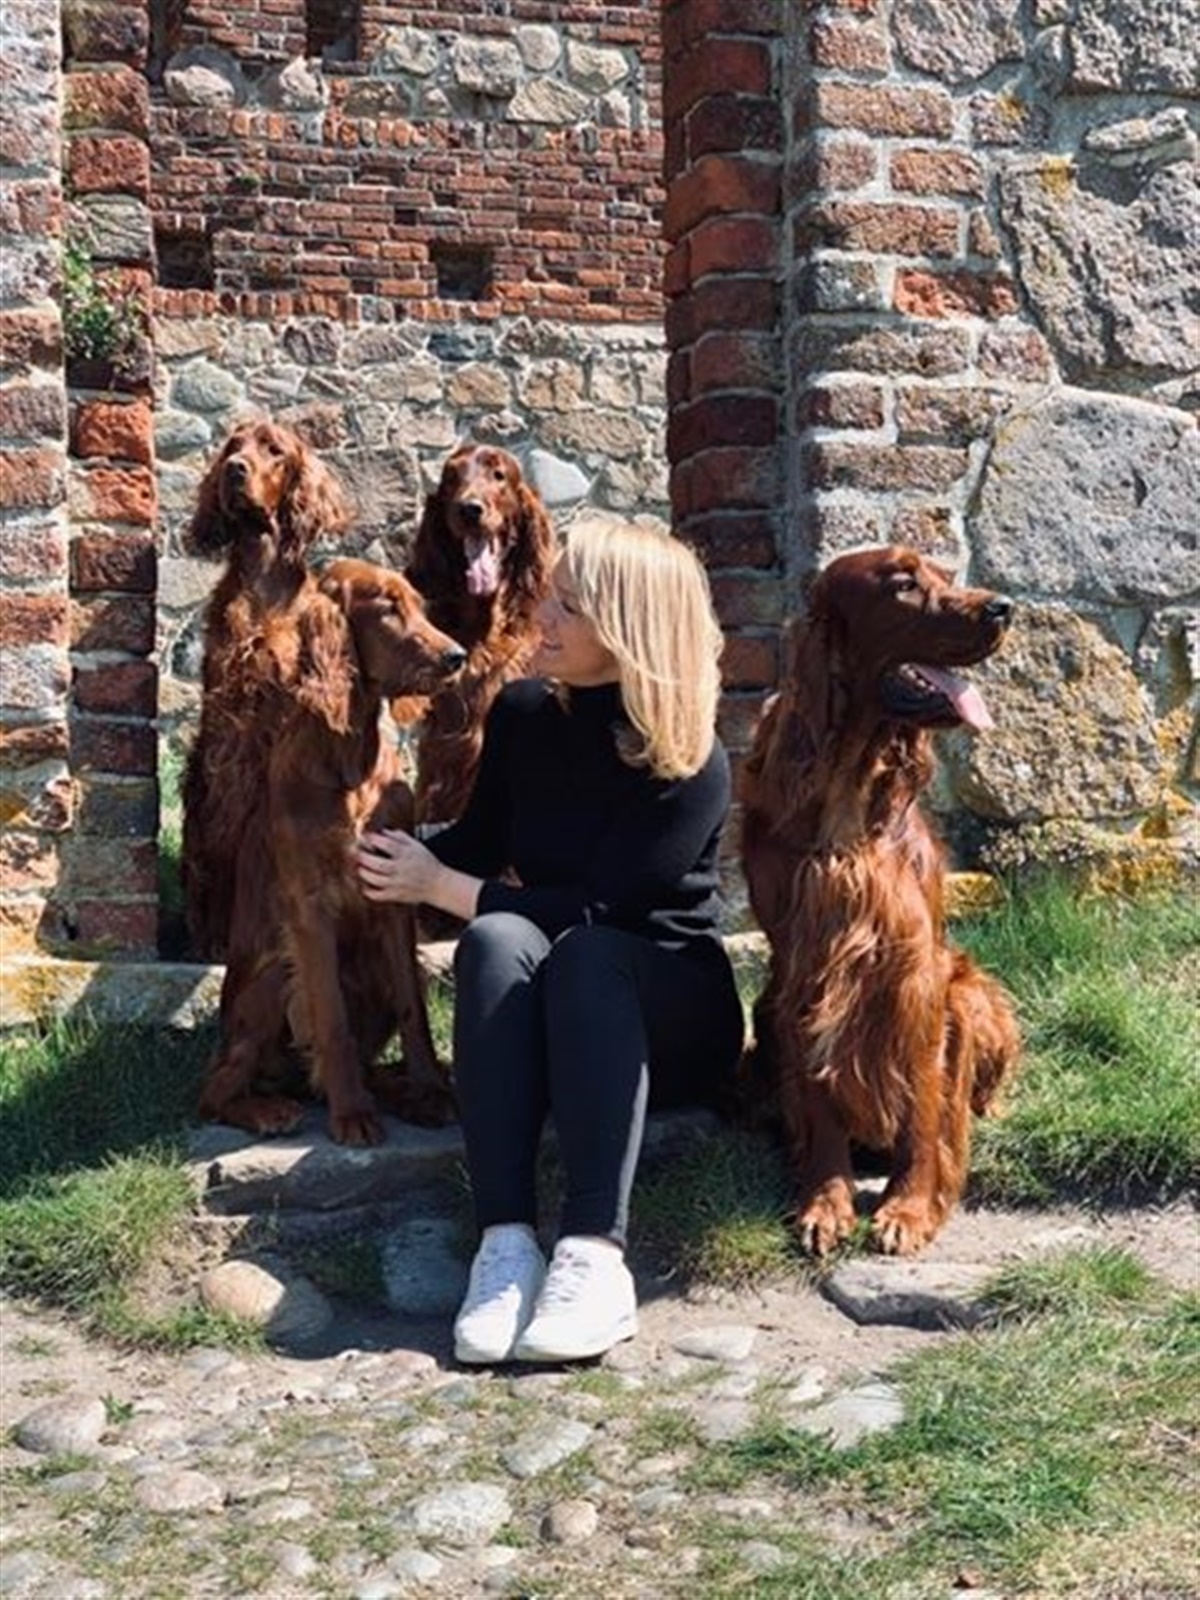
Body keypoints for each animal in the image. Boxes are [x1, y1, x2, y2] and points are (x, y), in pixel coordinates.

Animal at [197, 559, 466, 1145]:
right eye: (386, 607)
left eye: (420, 605)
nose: (456, 657)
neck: (348, 759)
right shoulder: (309, 907)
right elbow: (331, 1018)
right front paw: (352, 1114)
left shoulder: (393, 896)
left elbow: (414, 1008)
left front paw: (431, 1089)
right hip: (271, 980)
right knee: (214, 1090)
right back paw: (269, 1109)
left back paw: (399, 1091)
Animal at [740, 545, 1021, 1256]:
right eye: (902, 584)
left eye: (948, 575)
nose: (1003, 607)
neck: (845, 787)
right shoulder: (805, 966)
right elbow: (819, 1101)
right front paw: (825, 1201)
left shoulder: (915, 971)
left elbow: (923, 1101)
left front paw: (910, 1207)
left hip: (969, 991)